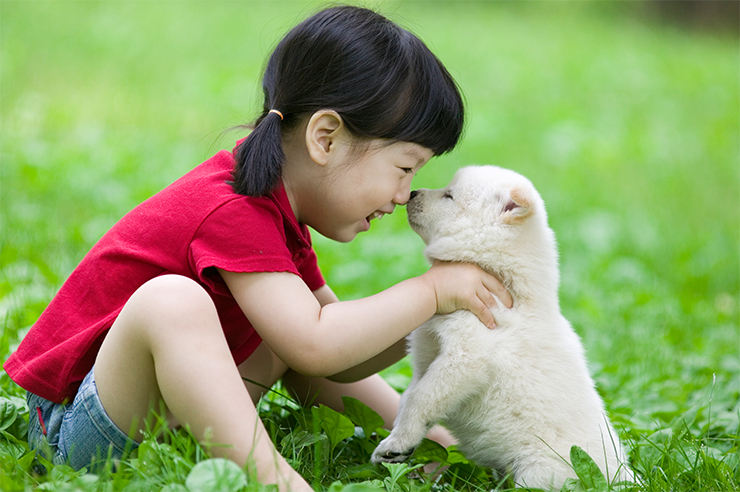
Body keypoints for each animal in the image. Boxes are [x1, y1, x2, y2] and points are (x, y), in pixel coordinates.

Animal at [372, 167, 632, 490]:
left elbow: (423, 397)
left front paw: (396, 443)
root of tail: (624, 477)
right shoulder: (426, 354)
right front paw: (397, 440)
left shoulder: (467, 356)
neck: (501, 279)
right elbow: (410, 396)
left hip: (540, 471)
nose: (412, 193)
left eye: (449, 195)